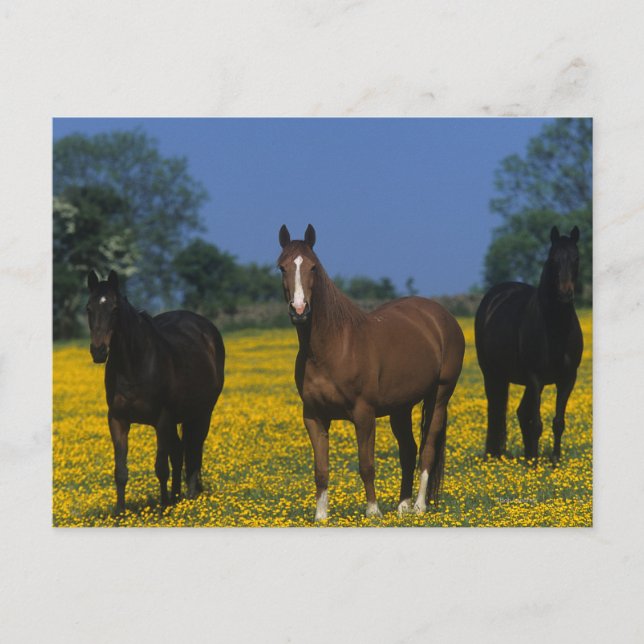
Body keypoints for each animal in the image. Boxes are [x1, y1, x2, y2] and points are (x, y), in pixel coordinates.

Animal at [86, 270, 225, 513]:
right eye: (88, 308)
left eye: (114, 308)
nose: (99, 351)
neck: (134, 365)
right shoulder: (118, 420)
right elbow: (120, 470)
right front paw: (120, 513)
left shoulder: (162, 419)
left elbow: (161, 467)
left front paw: (162, 509)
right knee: (179, 452)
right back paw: (176, 496)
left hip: (201, 414)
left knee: (194, 449)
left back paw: (189, 495)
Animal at [277, 225, 465, 520]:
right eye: (282, 267)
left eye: (313, 267)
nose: (299, 310)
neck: (332, 348)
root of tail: (441, 316)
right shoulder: (314, 417)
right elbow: (321, 469)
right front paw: (321, 516)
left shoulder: (364, 414)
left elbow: (366, 464)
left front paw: (373, 511)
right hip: (401, 407)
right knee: (408, 450)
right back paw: (403, 506)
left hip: (439, 396)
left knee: (427, 449)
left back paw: (419, 506)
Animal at [474, 226, 583, 463]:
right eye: (553, 259)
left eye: (576, 258)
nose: (565, 293)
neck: (556, 328)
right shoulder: (535, 378)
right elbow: (537, 424)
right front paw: (534, 464)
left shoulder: (567, 379)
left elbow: (558, 423)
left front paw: (554, 460)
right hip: (493, 375)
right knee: (496, 410)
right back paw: (495, 455)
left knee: (520, 413)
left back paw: (525, 455)